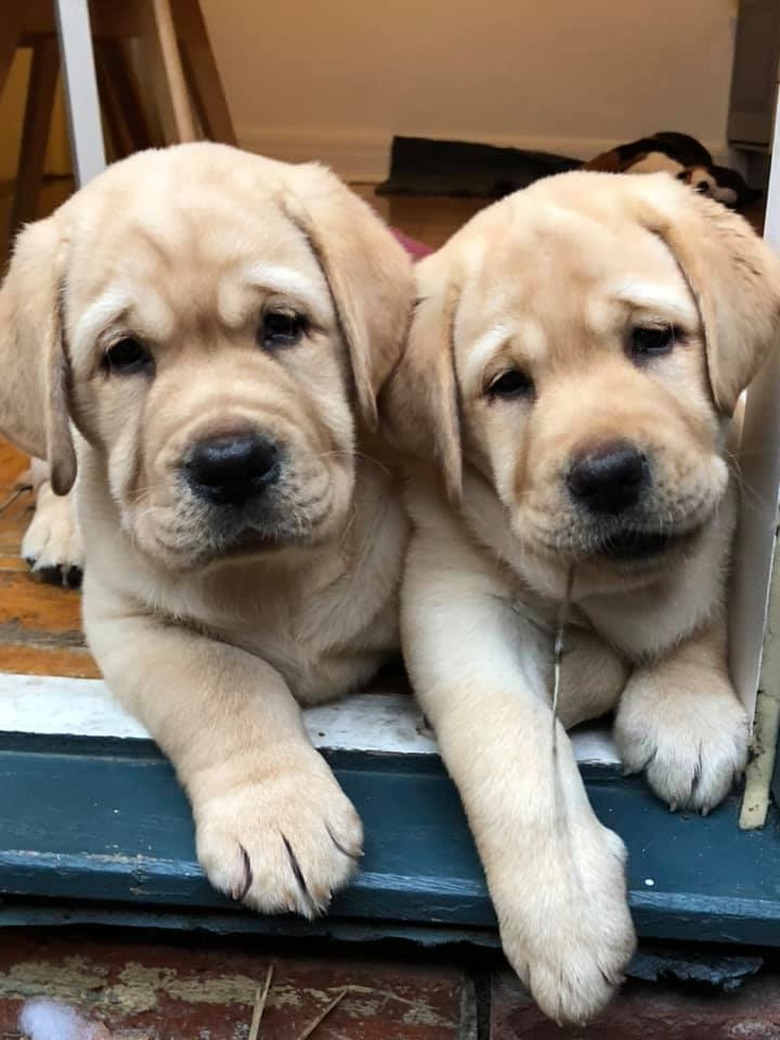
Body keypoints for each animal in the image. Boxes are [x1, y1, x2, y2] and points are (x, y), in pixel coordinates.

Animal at [0, 144, 416, 919]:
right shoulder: (131, 622)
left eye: (282, 325)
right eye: (124, 355)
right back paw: (58, 532)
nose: (231, 464)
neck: (272, 572)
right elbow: (225, 682)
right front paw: (279, 816)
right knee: (52, 465)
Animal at [382, 170, 780, 1023]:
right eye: (507, 386)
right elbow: (508, 741)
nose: (607, 475)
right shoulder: (452, 601)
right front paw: (564, 914)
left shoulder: (720, 511)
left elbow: (696, 607)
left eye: (653, 339)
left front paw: (687, 709)